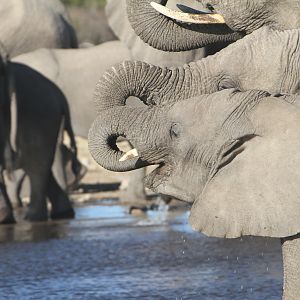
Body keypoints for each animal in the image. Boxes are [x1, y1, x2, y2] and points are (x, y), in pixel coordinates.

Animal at [0, 49, 76, 223]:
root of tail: (60, 95)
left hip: (40, 114)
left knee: (36, 168)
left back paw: (31, 218)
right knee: (41, 165)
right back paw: (62, 214)